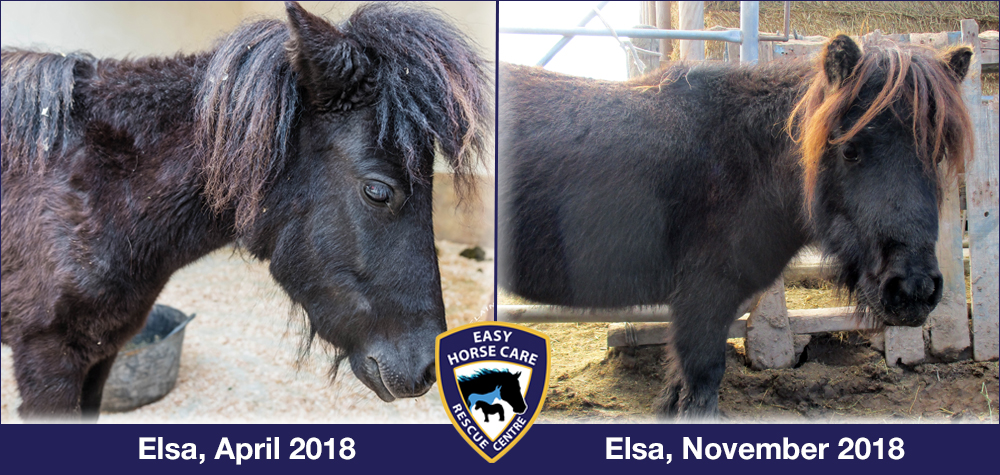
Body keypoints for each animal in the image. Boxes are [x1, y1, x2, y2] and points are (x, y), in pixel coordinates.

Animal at [498, 34, 973, 418]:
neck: (743, 159)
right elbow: (700, 394)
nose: (913, 290)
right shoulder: (703, 302)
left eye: (937, 153)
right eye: (850, 149)